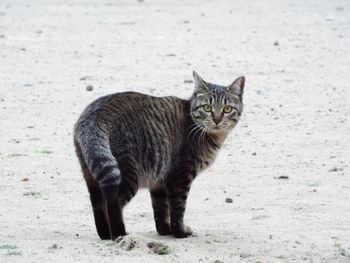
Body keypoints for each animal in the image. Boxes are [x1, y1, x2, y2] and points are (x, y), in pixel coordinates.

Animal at [73, 71, 245, 240]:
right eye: (208, 108)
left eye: (227, 109)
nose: (217, 119)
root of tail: (98, 113)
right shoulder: (180, 177)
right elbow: (177, 210)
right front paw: (180, 232)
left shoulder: (159, 181)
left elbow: (161, 210)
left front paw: (164, 230)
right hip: (127, 173)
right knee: (113, 204)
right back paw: (119, 235)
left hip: (90, 172)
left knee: (98, 204)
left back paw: (104, 234)